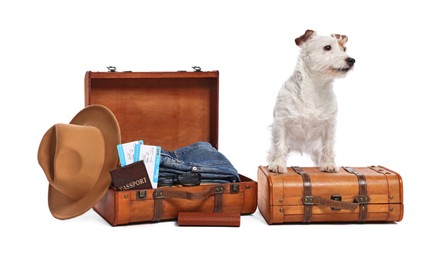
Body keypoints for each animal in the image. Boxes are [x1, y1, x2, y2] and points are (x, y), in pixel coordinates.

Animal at [266, 29, 356, 174]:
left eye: (344, 49)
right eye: (327, 47)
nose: (352, 60)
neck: (315, 87)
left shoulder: (329, 125)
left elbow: (328, 147)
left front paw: (329, 164)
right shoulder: (281, 121)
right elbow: (280, 145)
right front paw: (278, 164)